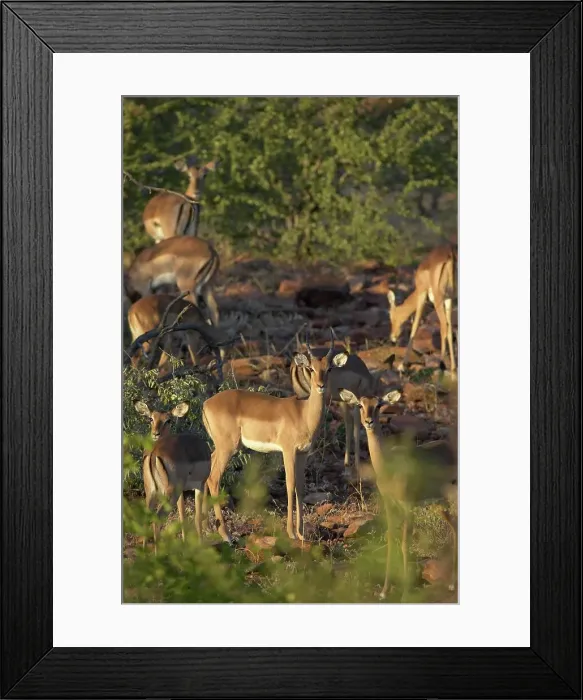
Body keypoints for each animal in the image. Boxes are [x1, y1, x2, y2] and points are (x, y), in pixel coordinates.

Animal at [135, 401, 211, 552]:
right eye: (151, 418)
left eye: (168, 420)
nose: (155, 434)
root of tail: (154, 452)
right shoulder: (200, 485)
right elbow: (197, 517)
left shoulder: (182, 491)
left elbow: (182, 516)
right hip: (170, 493)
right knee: (157, 518)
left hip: (151, 491)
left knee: (147, 517)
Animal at [202, 332, 347, 543]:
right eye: (311, 368)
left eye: (329, 368)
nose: (320, 386)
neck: (303, 413)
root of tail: (206, 404)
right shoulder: (288, 450)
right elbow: (290, 485)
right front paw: (291, 533)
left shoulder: (303, 453)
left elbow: (300, 488)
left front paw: (301, 534)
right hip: (228, 447)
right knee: (213, 478)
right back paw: (226, 536)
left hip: (221, 447)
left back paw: (205, 528)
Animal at [338, 388, 457, 599]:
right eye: (360, 404)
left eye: (379, 405)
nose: (369, 421)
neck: (388, 466)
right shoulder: (389, 503)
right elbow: (390, 539)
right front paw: (384, 592)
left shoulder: (408, 505)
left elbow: (404, 543)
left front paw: (405, 593)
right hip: (440, 503)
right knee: (454, 526)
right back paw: (451, 583)